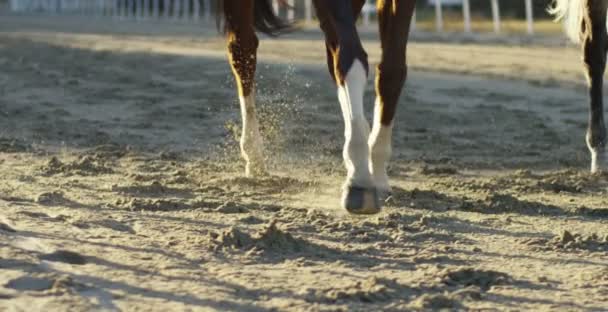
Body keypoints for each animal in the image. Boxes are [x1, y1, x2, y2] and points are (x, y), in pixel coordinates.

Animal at [221, 0, 608, 214]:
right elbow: (351, 57)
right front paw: (359, 177)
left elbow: (391, 70)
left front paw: (375, 169)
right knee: (243, 49)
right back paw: (254, 155)